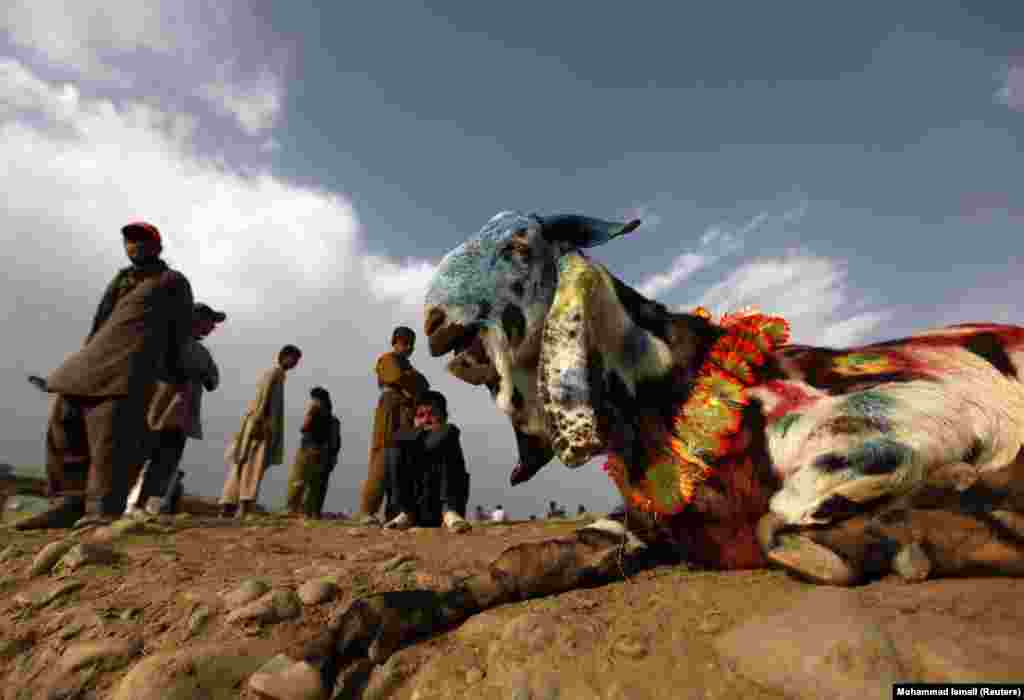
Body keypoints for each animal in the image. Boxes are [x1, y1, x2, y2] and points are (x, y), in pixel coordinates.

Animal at [256, 212, 1024, 700]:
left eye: (521, 244)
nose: (435, 322)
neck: (674, 381)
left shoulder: (904, 415)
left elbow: (783, 518)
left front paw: (891, 541)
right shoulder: (630, 526)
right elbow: (506, 567)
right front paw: (322, 650)